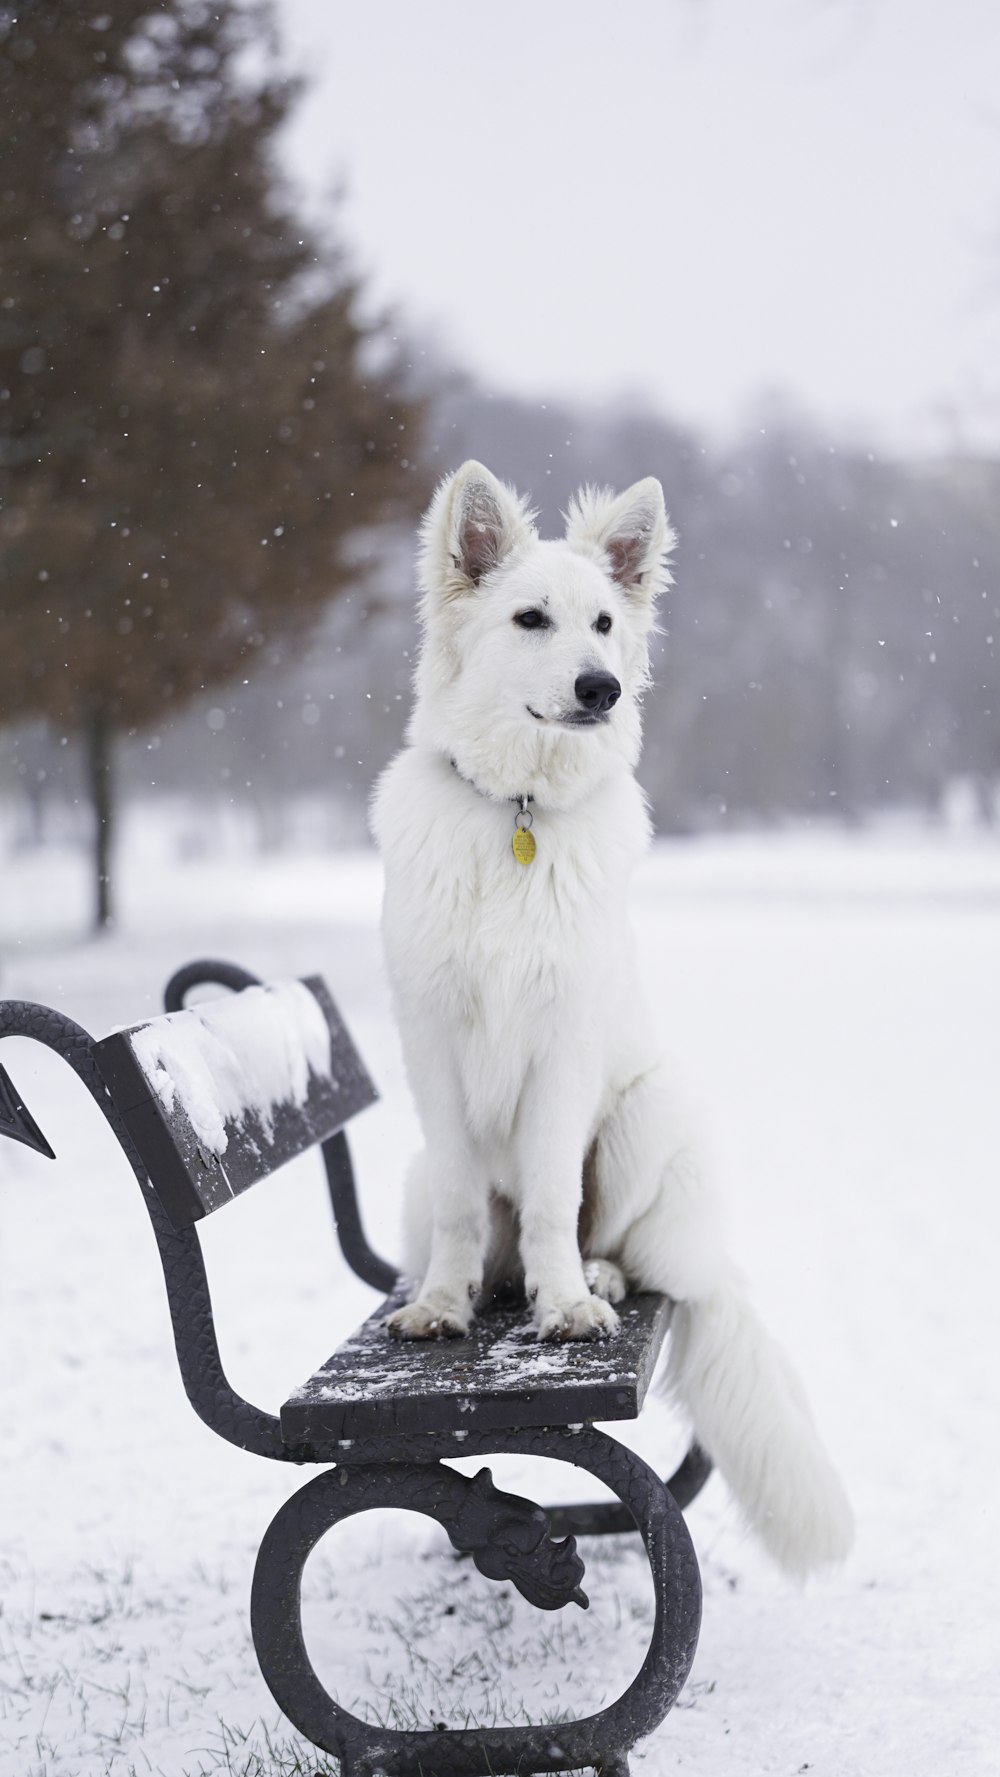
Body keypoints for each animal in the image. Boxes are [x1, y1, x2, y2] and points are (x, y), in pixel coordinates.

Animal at [371, 465, 856, 1577]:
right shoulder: (431, 1049)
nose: (603, 688)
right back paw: (486, 1282)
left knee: (615, 1244)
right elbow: (467, 1209)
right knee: (485, 1234)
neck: (515, 810)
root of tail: (706, 1261)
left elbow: (555, 1196)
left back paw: (588, 1274)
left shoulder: (565, 1047)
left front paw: (562, 1305)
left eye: (602, 622)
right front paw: (442, 1304)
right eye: (531, 619)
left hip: (649, 1111)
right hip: (416, 1170)